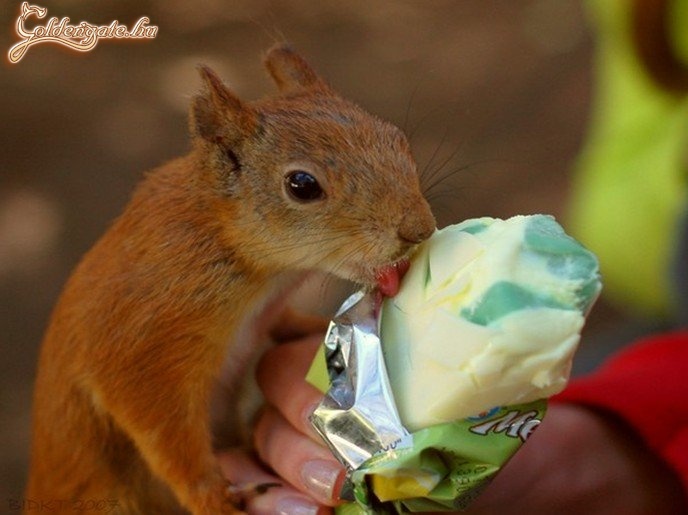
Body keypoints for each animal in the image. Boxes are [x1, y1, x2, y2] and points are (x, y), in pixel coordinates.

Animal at [28, 46, 436, 512]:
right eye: (301, 185)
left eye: (396, 136)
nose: (420, 228)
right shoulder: (143, 350)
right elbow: (167, 440)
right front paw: (215, 499)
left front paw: (314, 328)